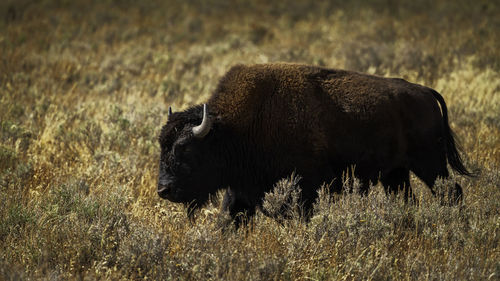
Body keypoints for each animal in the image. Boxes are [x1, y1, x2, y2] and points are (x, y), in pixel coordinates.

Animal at [157, 63, 472, 225]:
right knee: (407, 197)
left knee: (451, 191)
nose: (163, 190)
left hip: (429, 163)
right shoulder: (241, 188)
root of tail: (425, 92)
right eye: (162, 146)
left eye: (184, 149)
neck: (234, 128)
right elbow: (230, 219)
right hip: (396, 173)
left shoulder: (307, 186)